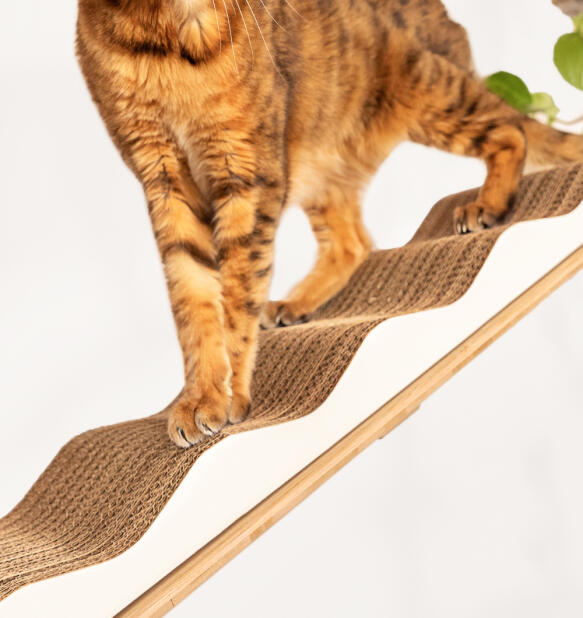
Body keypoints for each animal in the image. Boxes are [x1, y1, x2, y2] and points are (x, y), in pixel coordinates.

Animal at [76, 0, 583, 446]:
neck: (167, 32)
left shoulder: (248, 172)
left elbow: (237, 293)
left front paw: (230, 397)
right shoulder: (162, 178)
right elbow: (193, 299)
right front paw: (202, 396)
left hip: (425, 90)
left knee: (510, 129)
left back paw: (487, 205)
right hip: (319, 162)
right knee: (353, 240)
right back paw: (295, 304)